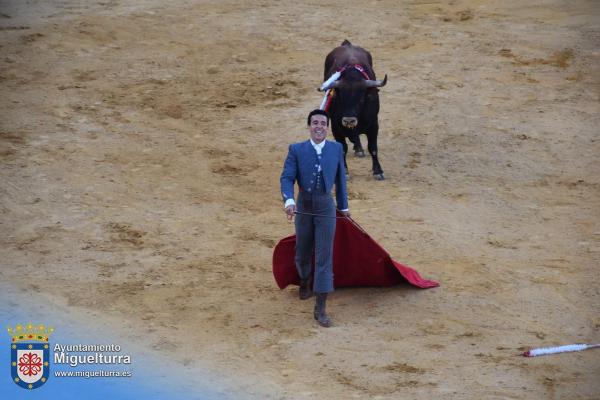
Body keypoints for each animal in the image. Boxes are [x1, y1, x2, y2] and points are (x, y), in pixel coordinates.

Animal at [318, 39, 390, 180]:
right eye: (340, 98)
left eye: (361, 99)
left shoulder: (374, 125)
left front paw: (378, 171)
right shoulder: (336, 128)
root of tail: (347, 44)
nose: (349, 120)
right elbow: (343, 149)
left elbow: (373, 148)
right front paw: (345, 172)